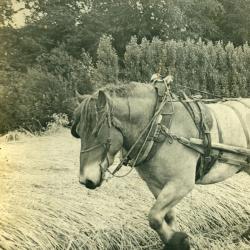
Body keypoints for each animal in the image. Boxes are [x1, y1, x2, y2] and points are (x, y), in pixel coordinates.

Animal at [71, 81, 250, 249]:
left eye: (97, 132)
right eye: (79, 132)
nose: (85, 180)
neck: (158, 127)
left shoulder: (181, 184)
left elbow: (154, 217)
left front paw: (179, 240)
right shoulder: (155, 184)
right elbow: (167, 216)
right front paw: (174, 239)